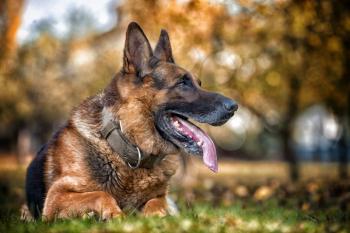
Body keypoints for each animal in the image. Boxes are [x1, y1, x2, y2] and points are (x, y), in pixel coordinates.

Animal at [23, 21, 238, 220]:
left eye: (198, 83)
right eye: (182, 83)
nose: (234, 106)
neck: (126, 146)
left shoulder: (161, 197)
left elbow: (156, 203)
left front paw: (157, 214)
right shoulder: (56, 198)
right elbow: (100, 194)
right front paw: (115, 214)